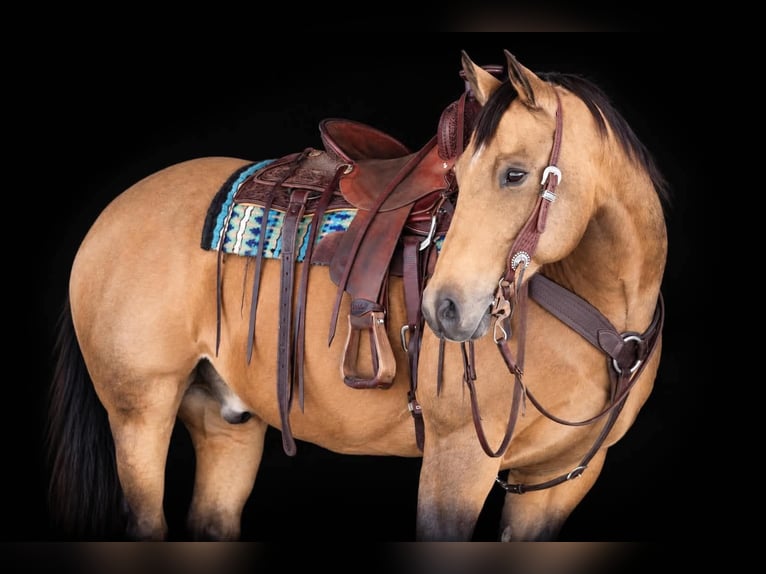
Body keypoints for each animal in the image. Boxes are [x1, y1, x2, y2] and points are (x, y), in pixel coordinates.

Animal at [44, 49, 667, 542]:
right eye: (458, 181)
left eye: (515, 175)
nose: (444, 308)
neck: (602, 311)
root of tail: (112, 214)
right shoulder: (457, 462)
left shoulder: (556, 484)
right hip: (139, 413)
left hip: (226, 420)